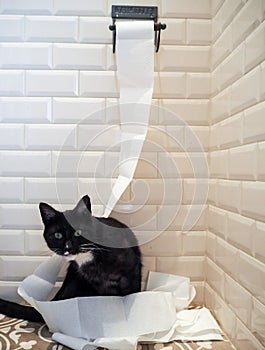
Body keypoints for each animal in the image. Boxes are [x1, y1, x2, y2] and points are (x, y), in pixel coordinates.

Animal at [0, 194, 141, 322]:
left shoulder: (130, 274)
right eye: (57, 235)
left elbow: (131, 293)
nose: (68, 247)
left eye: (78, 232)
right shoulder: (96, 283)